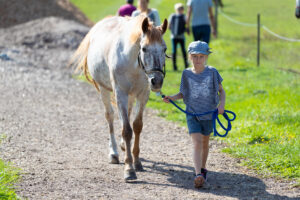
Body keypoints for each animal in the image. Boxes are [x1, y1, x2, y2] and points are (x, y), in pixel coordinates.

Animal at [71, 15, 168, 181]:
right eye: (144, 48)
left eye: (164, 49)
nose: (157, 81)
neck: (133, 63)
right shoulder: (120, 92)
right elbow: (127, 130)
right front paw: (129, 169)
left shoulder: (143, 94)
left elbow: (137, 126)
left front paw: (137, 161)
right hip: (104, 90)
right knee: (110, 116)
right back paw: (114, 153)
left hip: (130, 95)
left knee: (126, 114)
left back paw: (123, 146)